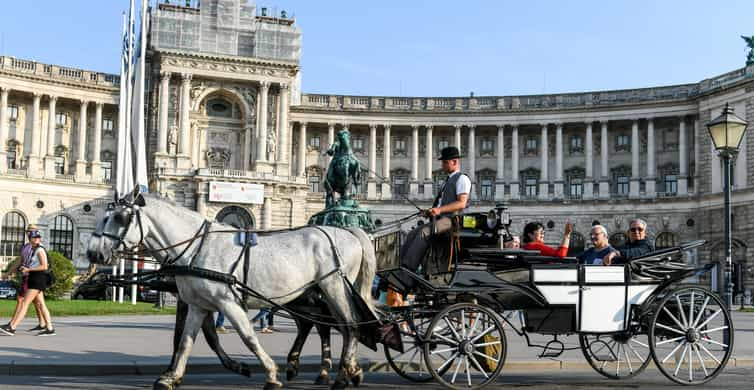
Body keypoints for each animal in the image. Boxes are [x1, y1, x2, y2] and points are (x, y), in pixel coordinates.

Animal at [87, 187, 376, 388]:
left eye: (121, 217)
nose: (93, 253)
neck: (197, 247)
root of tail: (349, 232)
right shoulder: (197, 304)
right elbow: (186, 341)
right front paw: (171, 377)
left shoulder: (228, 302)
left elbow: (248, 337)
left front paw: (270, 374)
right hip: (316, 294)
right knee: (328, 326)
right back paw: (343, 371)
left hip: (333, 286)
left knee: (349, 326)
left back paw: (341, 376)